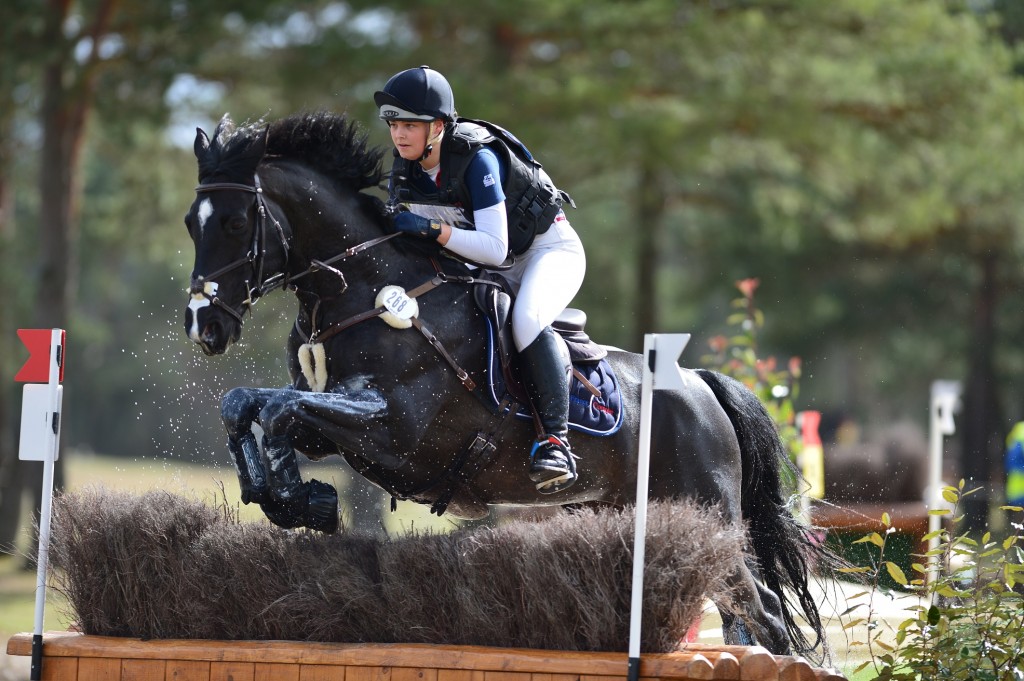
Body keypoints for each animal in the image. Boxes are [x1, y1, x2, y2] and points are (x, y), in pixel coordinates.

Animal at [180, 111, 827, 659]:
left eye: (236, 222)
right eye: (192, 223)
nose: (203, 325)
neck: (362, 291)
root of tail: (702, 386)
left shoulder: (395, 430)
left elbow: (280, 413)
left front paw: (298, 499)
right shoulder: (330, 426)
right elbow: (249, 405)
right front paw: (284, 497)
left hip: (712, 516)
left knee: (765, 611)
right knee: (744, 611)